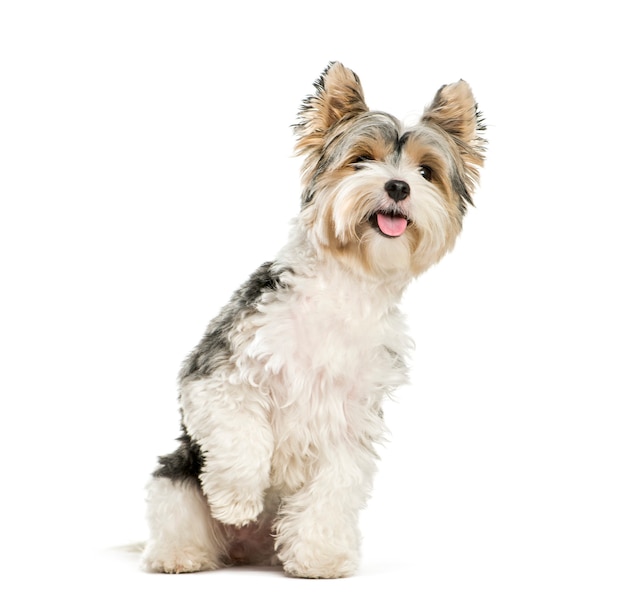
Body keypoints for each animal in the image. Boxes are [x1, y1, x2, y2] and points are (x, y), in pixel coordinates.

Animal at [140, 61, 482, 580]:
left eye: (427, 172)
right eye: (360, 160)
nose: (398, 186)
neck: (345, 286)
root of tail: (244, 552)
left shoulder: (349, 420)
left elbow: (333, 490)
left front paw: (319, 556)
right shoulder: (219, 375)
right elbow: (243, 437)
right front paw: (237, 499)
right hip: (176, 476)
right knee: (176, 512)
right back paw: (183, 553)